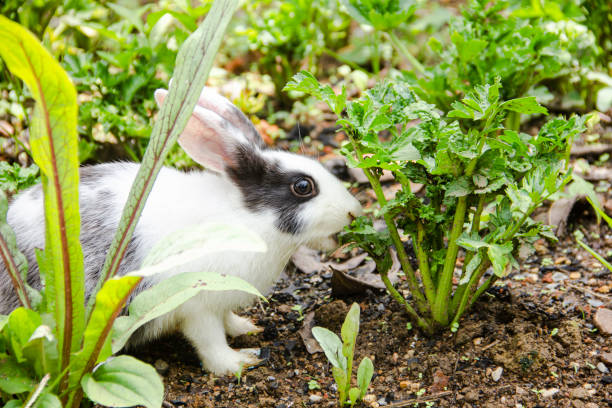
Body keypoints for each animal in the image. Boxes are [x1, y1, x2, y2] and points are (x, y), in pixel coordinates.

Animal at [0, 86, 364, 376]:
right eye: (303, 186)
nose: (354, 211)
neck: (246, 219)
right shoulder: (196, 307)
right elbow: (210, 342)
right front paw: (237, 363)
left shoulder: (220, 302)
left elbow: (227, 320)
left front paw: (245, 328)